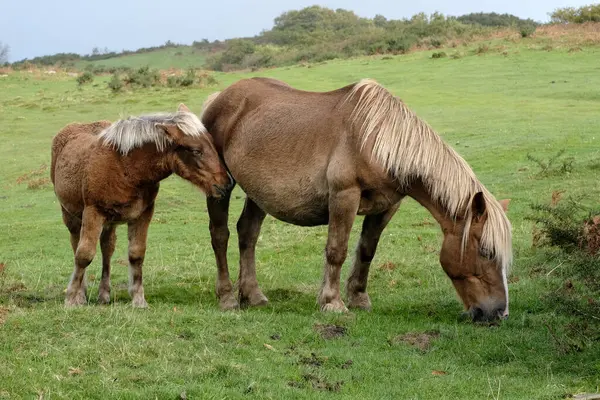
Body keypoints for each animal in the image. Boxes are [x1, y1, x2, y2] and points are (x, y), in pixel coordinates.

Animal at [51, 103, 232, 306]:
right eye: (195, 151)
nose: (226, 184)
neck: (125, 168)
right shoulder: (93, 212)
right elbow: (84, 255)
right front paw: (71, 299)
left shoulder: (143, 214)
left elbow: (136, 254)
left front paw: (138, 299)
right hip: (71, 215)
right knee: (76, 244)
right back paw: (81, 294)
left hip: (110, 223)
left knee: (107, 248)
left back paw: (104, 294)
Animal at [200, 77, 510, 322]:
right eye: (486, 251)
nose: (498, 313)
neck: (377, 139)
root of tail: (220, 97)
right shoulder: (344, 196)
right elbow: (337, 250)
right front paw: (332, 303)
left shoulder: (387, 205)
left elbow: (366, 251)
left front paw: (358, 298)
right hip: (220, 187)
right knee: (220, 236)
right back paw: (227, 298)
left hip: (258, 193)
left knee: (247, 234)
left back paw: (253, 295)